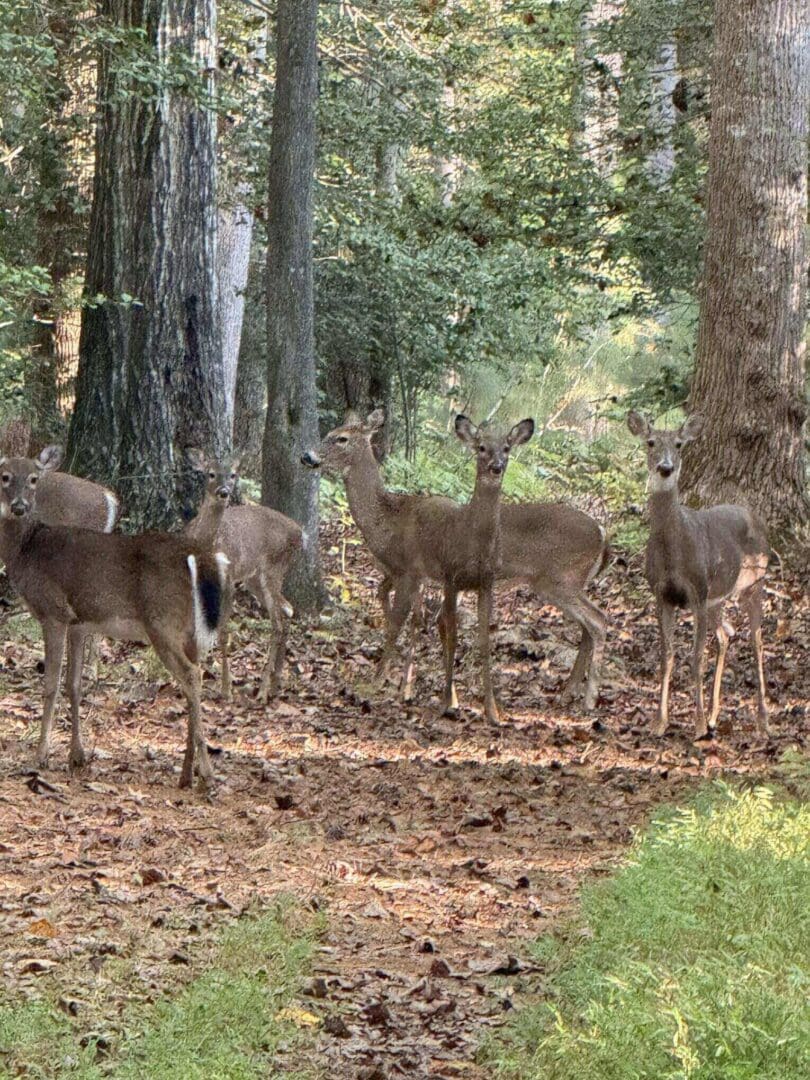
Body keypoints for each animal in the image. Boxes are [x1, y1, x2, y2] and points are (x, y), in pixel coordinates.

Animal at [0, 448, 229, 788]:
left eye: (33, 479)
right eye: (4, 476)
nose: (18, 507)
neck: (26, 550)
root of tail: (198, 557)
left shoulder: (53, 611)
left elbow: (51, 684)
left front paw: (40, 756)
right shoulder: (79, 622)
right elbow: (75, 685)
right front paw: (77, 756)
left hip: (161, 622)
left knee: (191, 675)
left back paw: (207, 774)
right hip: (189, 629)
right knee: (193, 679)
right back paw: (187, 773)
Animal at [185, 450, 303, 702]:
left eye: (233, 474)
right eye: (211, 473)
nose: (224, 492)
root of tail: (300, 533)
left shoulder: (229, 579)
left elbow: (223, 633)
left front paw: (225, 689)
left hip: (273, 568)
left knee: (277, 623)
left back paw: (263, 690)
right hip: (254, 577)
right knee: (288, 609)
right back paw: (276, 683)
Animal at [303, 410, 608, 712]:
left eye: (340, 438)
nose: (307, 455)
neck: (388, 519)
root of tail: (603, 534)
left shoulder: (409, 570)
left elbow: (399, 623)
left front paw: (378, 681)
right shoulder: (422, 575)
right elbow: (418, 619)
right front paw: (413, 688)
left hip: (560, 578)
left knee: (598, 620)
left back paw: (588, 698)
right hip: (562, 583)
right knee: (587, 626)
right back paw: (569, 692)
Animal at [627, 411, 770, 739]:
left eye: (679, 444)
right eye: (650, 442)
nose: (665, 468)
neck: (674, 551)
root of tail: (755, 518)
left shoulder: (697, 591)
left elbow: (696, 659)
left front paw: (698, 724)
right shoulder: (662, 594)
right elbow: (666, 657)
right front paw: (659, 722)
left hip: (754, 581)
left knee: (756, 640)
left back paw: (762, 720)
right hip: (719, 597)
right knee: (727, 634)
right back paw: (718, 716)